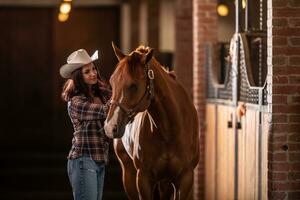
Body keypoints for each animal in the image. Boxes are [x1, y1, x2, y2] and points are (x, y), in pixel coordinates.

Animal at [103, 42, 199, 200]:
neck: (169, 131)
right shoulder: (143, 178)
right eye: (112, 82)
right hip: (129, 174)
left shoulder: (185, 179)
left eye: (134, 85)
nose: (110, 127)